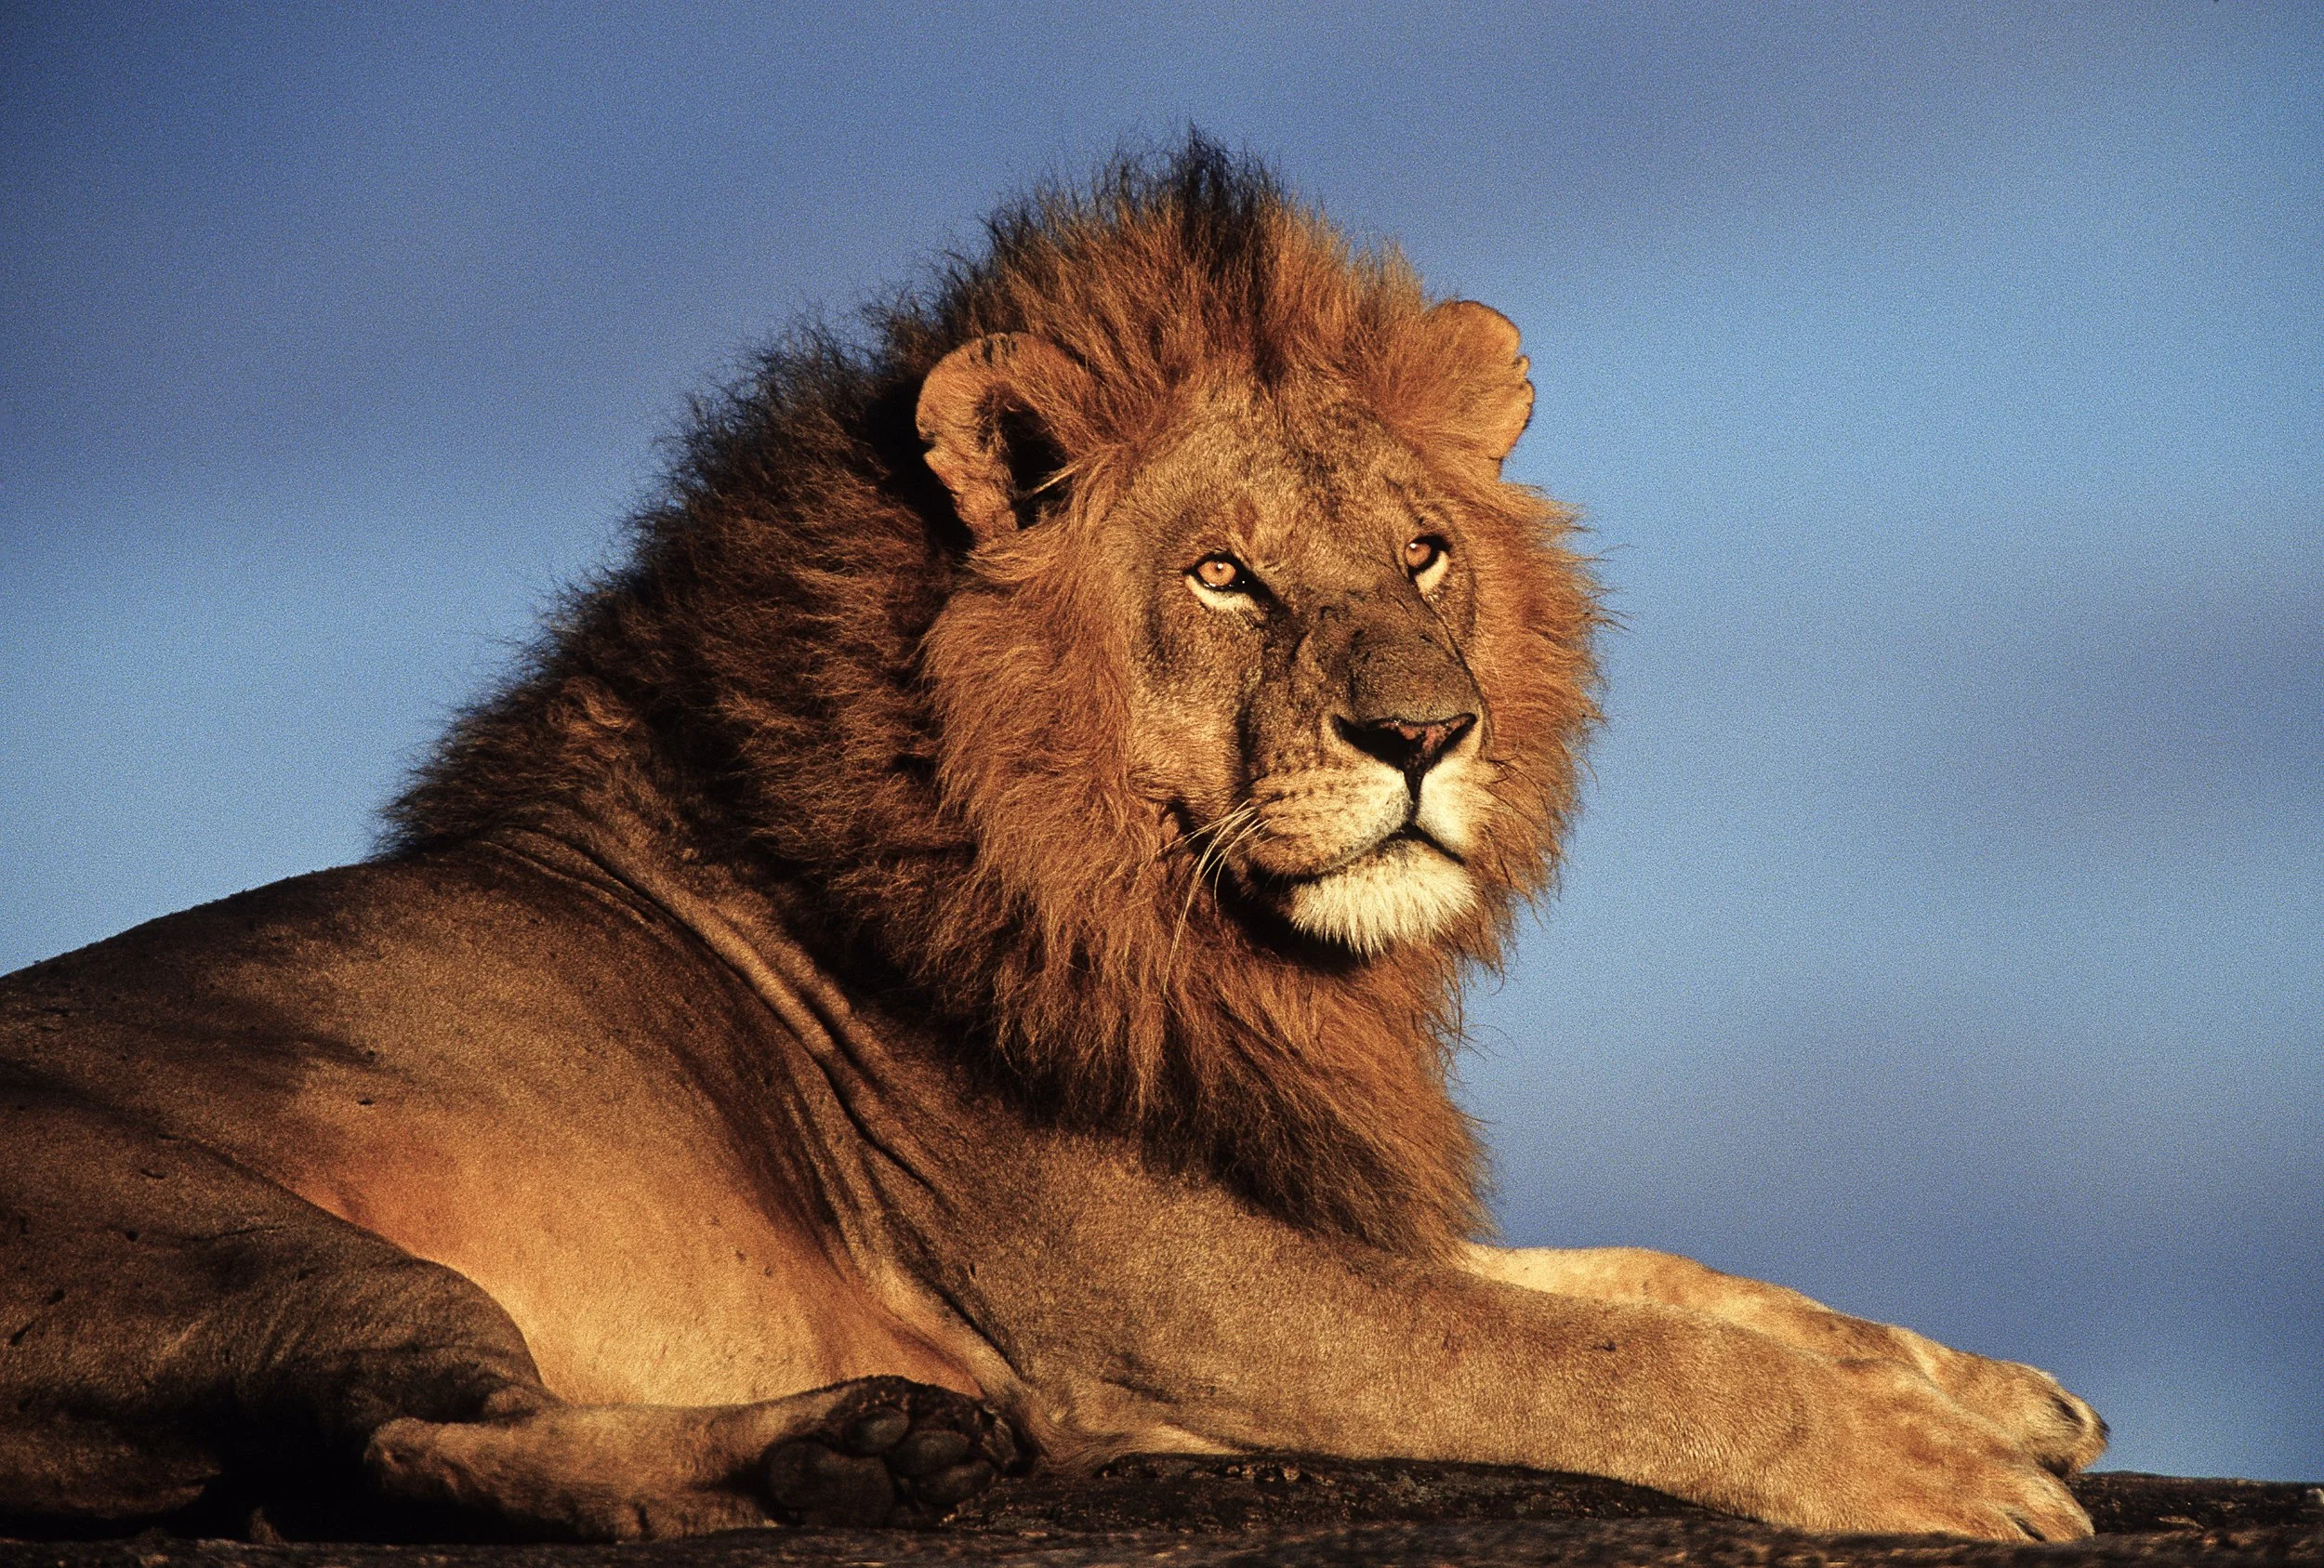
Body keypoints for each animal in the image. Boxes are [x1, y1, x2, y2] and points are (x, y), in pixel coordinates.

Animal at [0, 140, 2105, 1544]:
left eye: (1426, 553)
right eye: (1226, 576)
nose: (1427, 733)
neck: (1180, 921)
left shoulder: (1282, 1180)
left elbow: (1659, 1277)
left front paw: (1985, 1389)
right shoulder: (1174, 1309)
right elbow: (1604, 1360)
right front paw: (1937, 1467)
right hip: (285, 1248)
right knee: (403, 1445)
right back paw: (838, 1453)